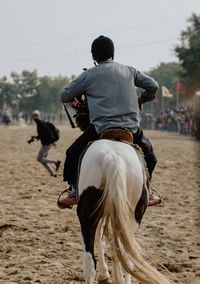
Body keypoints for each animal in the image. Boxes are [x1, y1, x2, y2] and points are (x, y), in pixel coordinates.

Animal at [76, 134, 171, 284]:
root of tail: (112, 158)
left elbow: (103, 241)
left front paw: (107, 275)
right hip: (131, 217)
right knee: (124, 256)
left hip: (88, 216)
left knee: (91, 261)